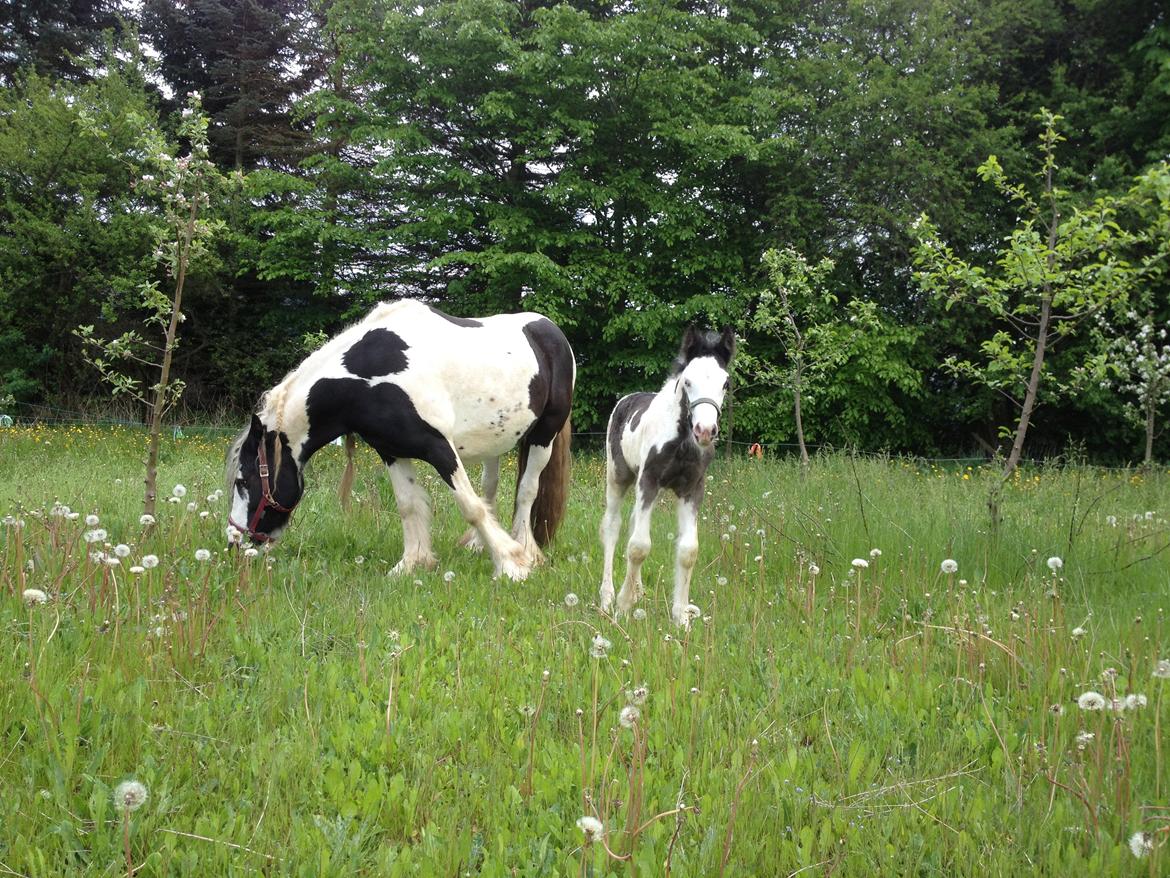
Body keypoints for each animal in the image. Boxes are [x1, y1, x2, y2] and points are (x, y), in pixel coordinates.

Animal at [225, 299, 573, 580]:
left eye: (242, 481)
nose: (233, 543)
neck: (373, 375)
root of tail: (550, 331)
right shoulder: (391, 450)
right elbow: (409, 505)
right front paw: (411, 564)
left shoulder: (439, 447)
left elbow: (470, 505)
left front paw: (511, 565)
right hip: (495, 441)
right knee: (490, 487)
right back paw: (478, 545)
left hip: (544, 436)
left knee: (526, 491)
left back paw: (526, 548)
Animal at [603, 327, 730, 627]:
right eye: (688, 381)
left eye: (725, 383)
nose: (705, 430)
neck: (681, 440)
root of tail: (626, 398)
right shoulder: (648, 480)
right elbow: (638, 546)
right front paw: (623, 607)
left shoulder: (692, 489)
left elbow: (688, 551)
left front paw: (681, 616)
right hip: (618, 478)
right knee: (612, 526)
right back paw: (607, 597)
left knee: (632, 523)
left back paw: (637, 590)